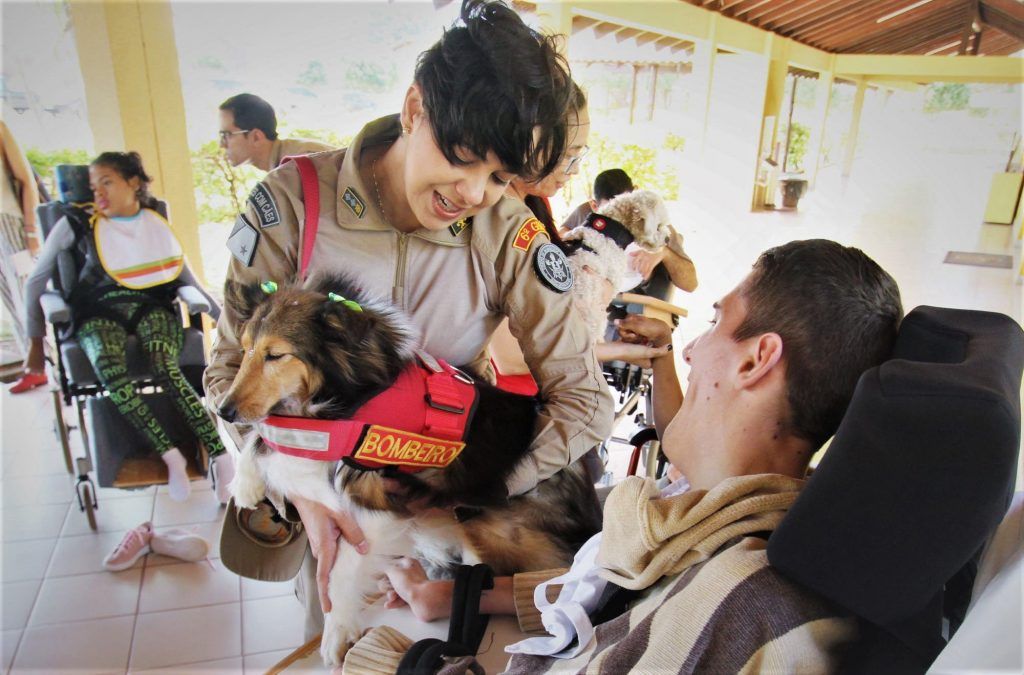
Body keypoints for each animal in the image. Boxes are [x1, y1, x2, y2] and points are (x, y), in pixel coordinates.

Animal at [216, 274, 598, 663]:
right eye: (245, 349)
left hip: (483, 519)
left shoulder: (374, 498)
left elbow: (342, 568)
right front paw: (245, 483)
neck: (359, 392)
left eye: (276, 354)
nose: (223, 412)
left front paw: (338, 630)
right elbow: (267, 434)